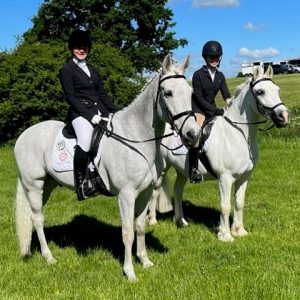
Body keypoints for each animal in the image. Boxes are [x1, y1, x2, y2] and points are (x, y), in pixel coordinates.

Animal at [14, 54, 202, 282]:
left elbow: (140, 227)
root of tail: (23, 135)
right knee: (37, 218)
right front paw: (130, 272)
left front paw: (145, 261)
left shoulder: (145, 192)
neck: (136, 138)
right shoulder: (126, 195)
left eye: (190, 93)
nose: (193, 135)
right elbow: (128, 233)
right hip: (34, 185)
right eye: (168, 93)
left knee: (36, 216)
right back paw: (49, 257)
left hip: (48, 185)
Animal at [149, 65, 290, 241]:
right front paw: (225, 235)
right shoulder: (225, 178)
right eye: (260, 92)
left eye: (277, 90)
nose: (284, 116)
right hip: (162, 168)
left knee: (178, 191)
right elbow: (225, 206)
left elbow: (239, 203)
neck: (237, 134)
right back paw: (152, 221)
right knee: (155, 192)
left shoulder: (244, 177)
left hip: (182, 171)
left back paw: (180, 221)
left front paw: (239, 231)